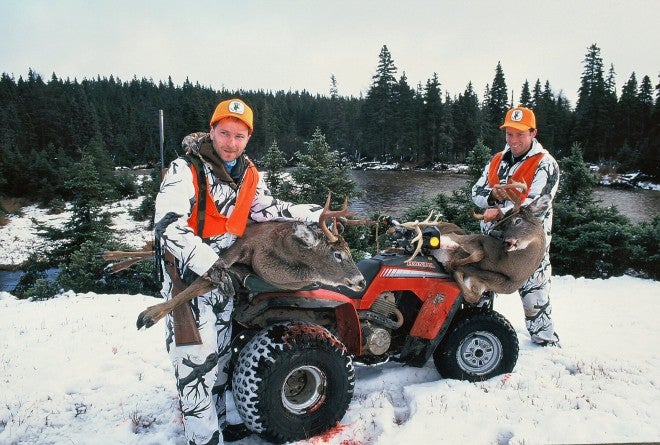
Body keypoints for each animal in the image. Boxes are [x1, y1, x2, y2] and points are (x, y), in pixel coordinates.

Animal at [133, 194, 366, 330]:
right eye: (337, 254)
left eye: (350, 252)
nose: (361, 281)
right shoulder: (240, 245)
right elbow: (199, 283)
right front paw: (148, 315)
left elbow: (206, 283)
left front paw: (149, 314)